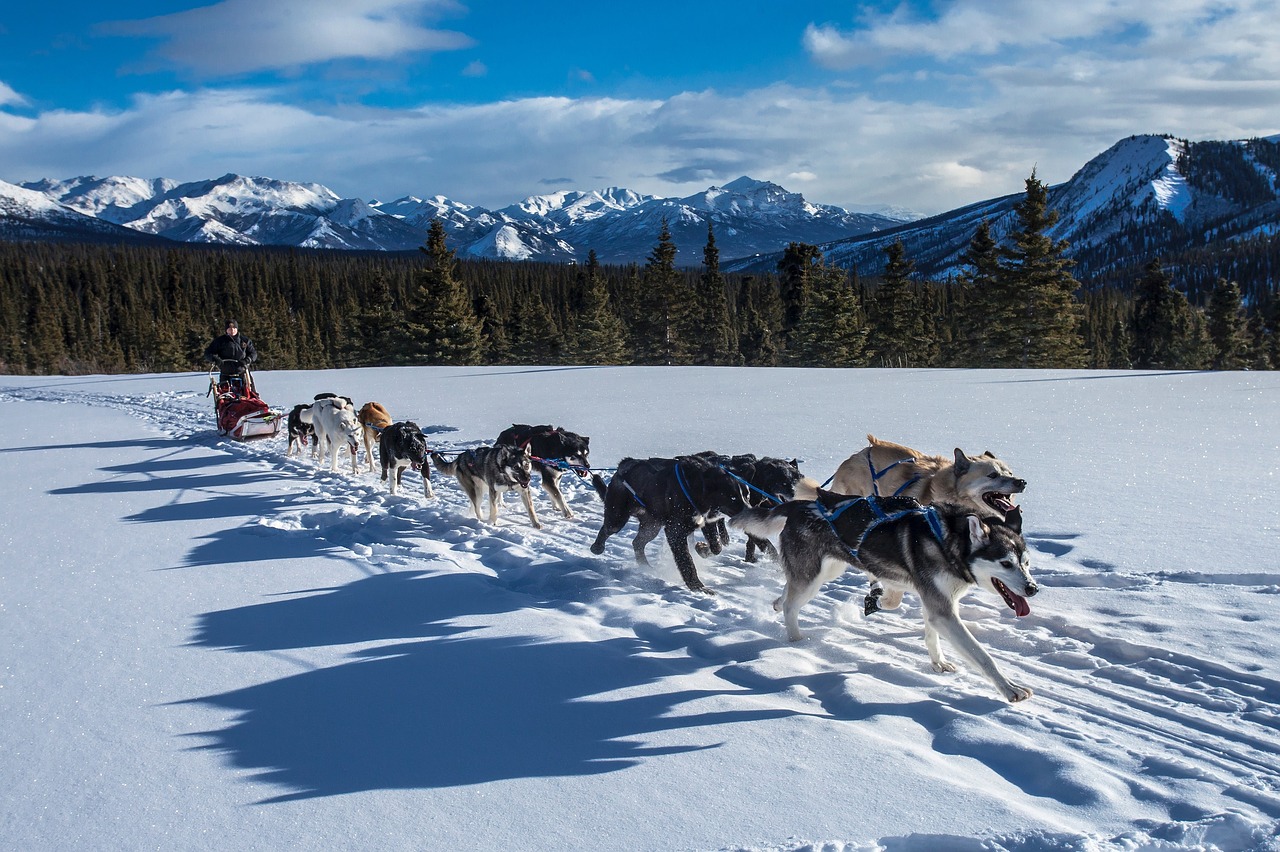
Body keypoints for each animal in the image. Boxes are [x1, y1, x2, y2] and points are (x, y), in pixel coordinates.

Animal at [588, 455, 747, 593]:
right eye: (733, 497)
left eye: (746, 494)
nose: (749, 510)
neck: (695, 487)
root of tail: (623, 465)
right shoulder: (675, 532)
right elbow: (687, 561)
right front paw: (697, 587)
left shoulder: (707, 522)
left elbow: (716, 546)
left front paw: (702, 549)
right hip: (618, 518)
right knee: (607, 529)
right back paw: (597, 547)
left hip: (651, 527)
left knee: (637, 543)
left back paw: (645, 566)